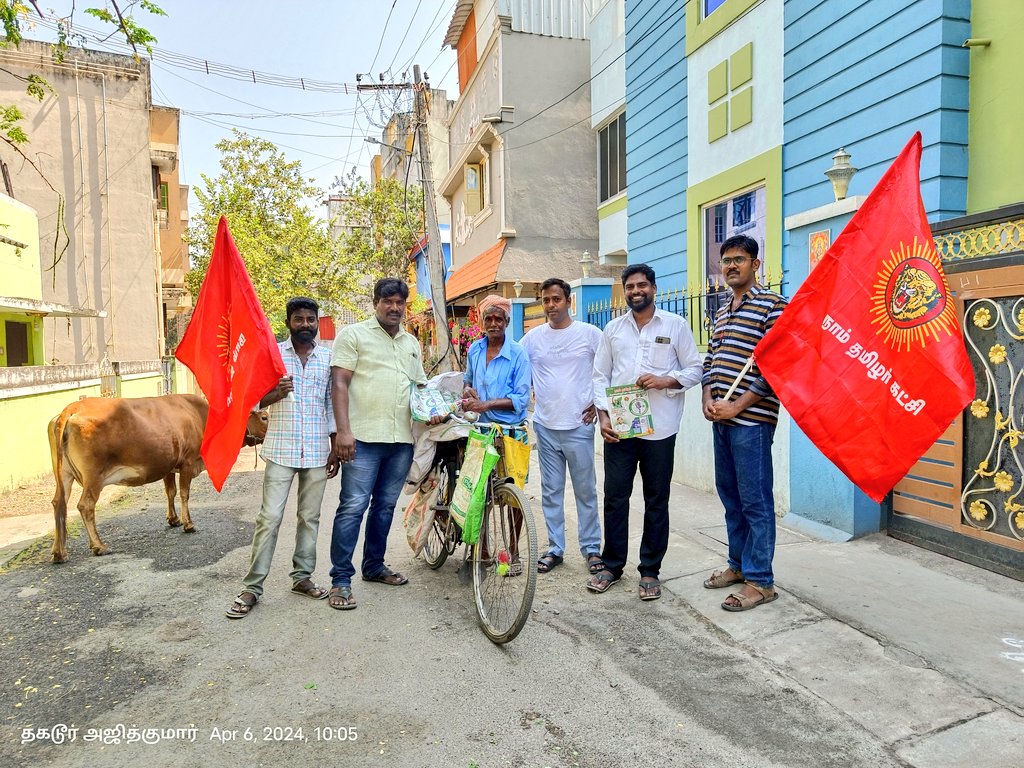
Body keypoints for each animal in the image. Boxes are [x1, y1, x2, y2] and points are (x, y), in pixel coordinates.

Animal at [46, 397, 270, 565]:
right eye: (265, 417)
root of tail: (73, 407)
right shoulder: (188, 462)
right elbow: (184, 493)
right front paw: (188, 524)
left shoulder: (169, 465)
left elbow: (170, 491)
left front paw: (173, 519)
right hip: (94, 476)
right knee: (85, 505)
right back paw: (99, 546)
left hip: (63, 474)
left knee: (59, 503)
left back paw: (59, 552)